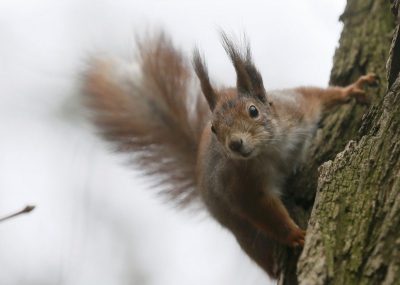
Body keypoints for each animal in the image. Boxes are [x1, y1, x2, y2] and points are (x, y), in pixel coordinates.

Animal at [82, 31, 378, 278]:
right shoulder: (241, 183)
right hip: (245, 235)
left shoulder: (297, 109)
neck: (270, 149)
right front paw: (295, 236)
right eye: (214, 128)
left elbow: (318, 95)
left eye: (253, 111)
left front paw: (353, 88)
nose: (235, 144)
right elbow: (262, 210)